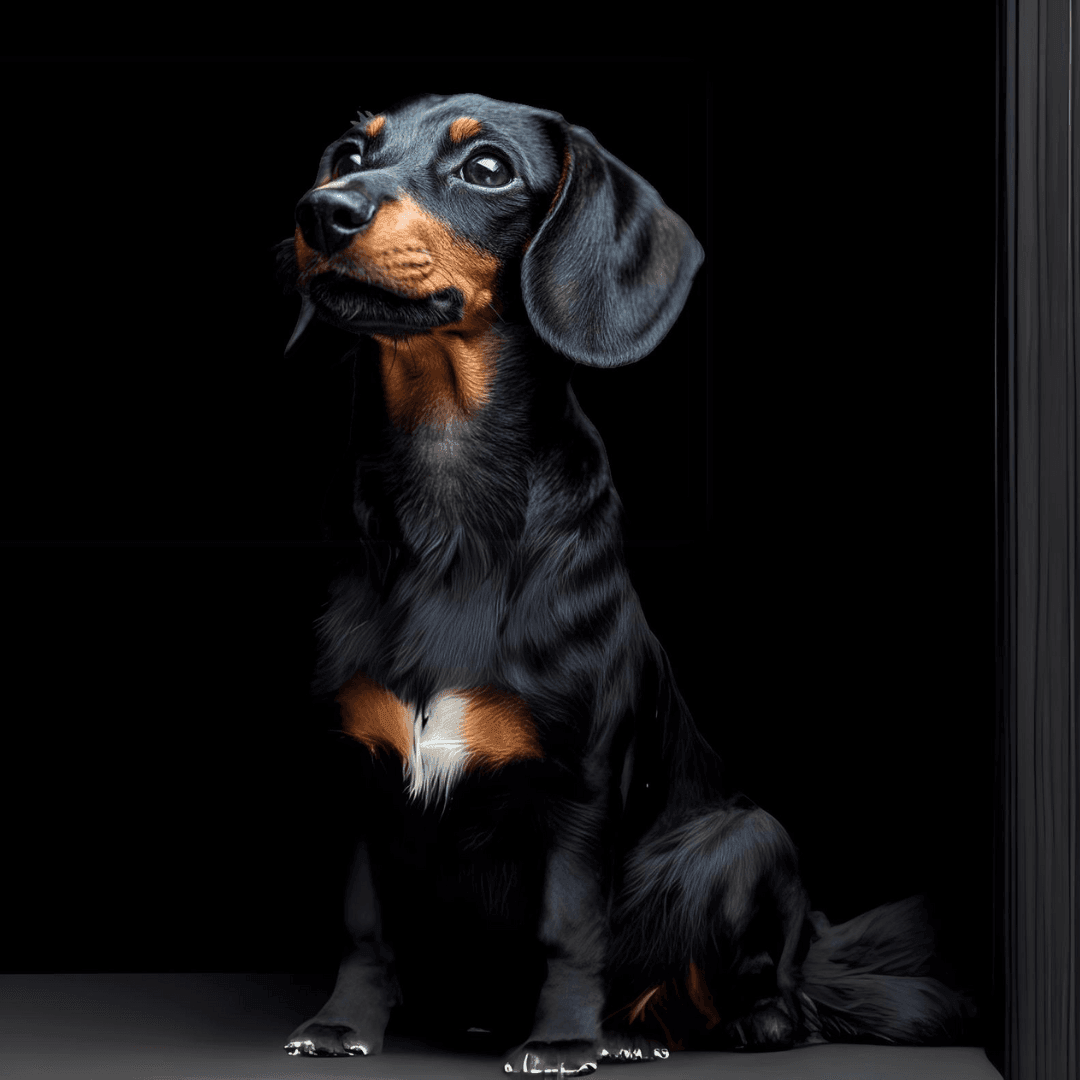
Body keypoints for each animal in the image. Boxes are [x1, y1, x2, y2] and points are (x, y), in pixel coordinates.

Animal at [274, 97, 976, 1075]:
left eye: (486, 169)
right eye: (348, 153)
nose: (322, 211)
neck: (448, 514)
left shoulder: (581, 782)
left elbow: (571, 928)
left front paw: (564, 1039)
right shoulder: (358, 765)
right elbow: (364, 925)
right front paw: (343, 1023)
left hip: (743, 842)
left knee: (767, 993)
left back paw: (664, 1030)